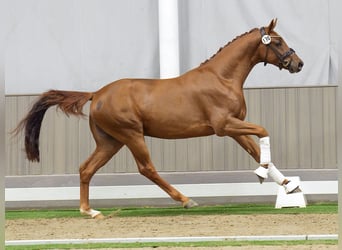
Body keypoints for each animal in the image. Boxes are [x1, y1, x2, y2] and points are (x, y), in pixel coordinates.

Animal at [14, 19, 302, 219]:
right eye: (277, 42)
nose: (298, 64)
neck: (222, 78)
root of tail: (96, 94)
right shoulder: (224, 126)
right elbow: (263, 131)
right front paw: (265, 175)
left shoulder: (234, 128)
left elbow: (256, 149)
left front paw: (288, 186)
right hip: (131, 135)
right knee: (146, 168)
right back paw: (185, 200)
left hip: (110, 142)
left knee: (86, 168)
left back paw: (90, 211)